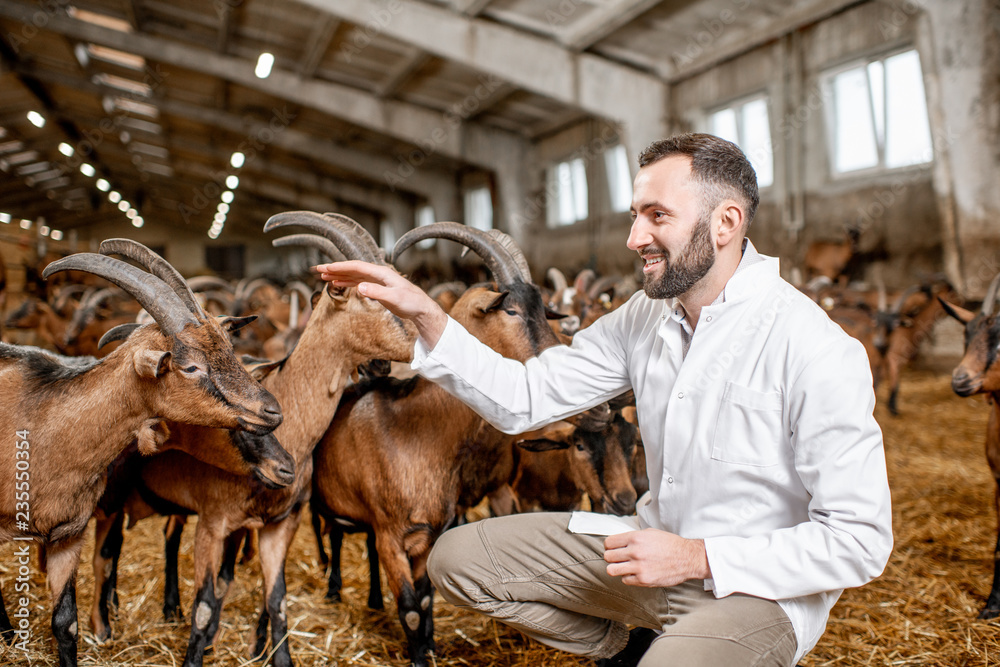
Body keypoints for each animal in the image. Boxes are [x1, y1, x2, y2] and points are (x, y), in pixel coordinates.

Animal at [0, 244, 282, 667]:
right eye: (190, 367)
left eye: (230, 350)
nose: (272, 411)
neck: (43, 425)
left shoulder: (68, 536)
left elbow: (66, 624)